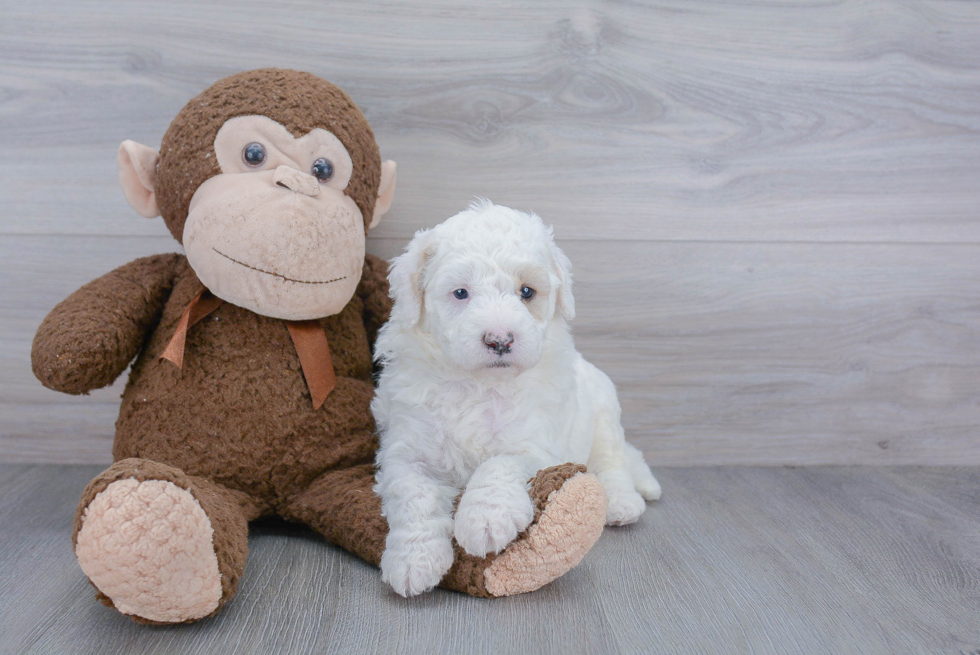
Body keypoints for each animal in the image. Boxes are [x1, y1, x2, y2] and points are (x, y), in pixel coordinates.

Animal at [372, 201, 664, 600]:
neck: (478, 384)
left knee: (614, 462)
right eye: (460, 293)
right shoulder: (406, 448)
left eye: (527, 291)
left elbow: (499, 464)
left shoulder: (534, 441)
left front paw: (484, 520)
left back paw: (622, 501)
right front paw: (412, 561)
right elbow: (412, 493)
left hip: (604, 415)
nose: (499, 339)